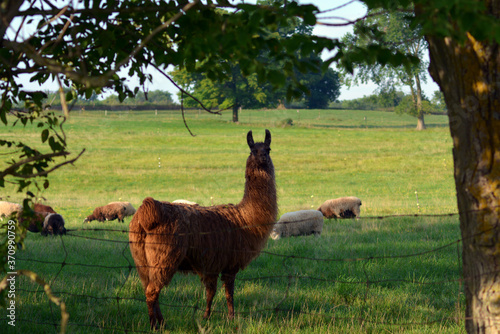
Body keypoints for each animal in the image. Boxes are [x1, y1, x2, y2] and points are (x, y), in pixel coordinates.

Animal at [129, 129, 278, 330]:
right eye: (253, 150)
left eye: (268, 149)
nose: (262, 157)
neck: (246, 217)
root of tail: (148, 211)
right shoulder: (229, 263)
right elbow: (228, 293)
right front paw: (230, 319)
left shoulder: (211, 264)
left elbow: (211, 293)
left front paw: (207, 317)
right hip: (164, 256)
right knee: (152, 291)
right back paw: (154, 325)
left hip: (141, 260)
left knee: (149, 288)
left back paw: (161, 322)